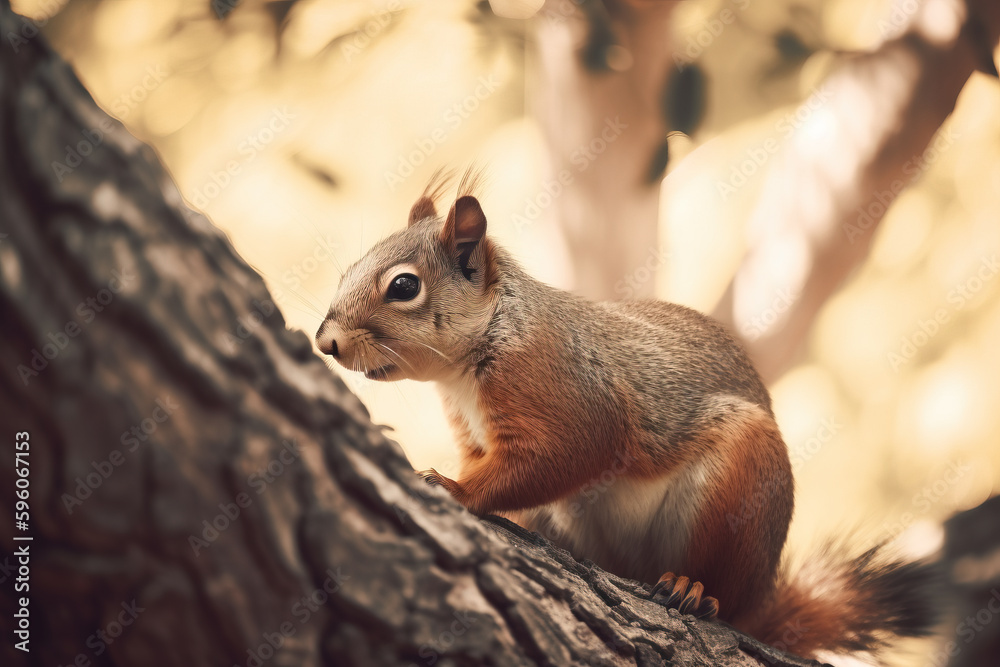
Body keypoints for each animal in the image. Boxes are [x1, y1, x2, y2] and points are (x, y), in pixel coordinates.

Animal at [315, 170, 940, 660]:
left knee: (727, 592)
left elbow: (563, 454)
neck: (478, 352)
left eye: (403, 285)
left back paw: (694, 589)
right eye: (345, 270)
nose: (326, 342)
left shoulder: (564, 390)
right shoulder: (476, 434)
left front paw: (455, 490)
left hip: (741, 488)